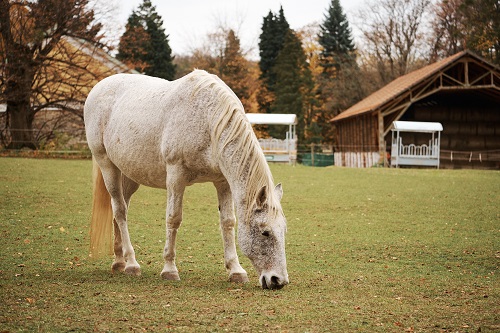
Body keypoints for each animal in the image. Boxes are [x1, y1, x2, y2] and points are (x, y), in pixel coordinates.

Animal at [83, 69, 290, 288]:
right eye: (265, 232)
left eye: (283, 231)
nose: (278, 280)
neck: (208, 119)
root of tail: (99, 87)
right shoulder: (176, 177)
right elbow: (173, 218)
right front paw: (169, 269)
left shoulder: (223, 182)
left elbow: (228, 222)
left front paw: (236, 270)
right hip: (108, 166)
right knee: (120, 211)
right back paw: (131, 264)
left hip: (130, 175)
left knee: (119, 210)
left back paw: (119, 261)